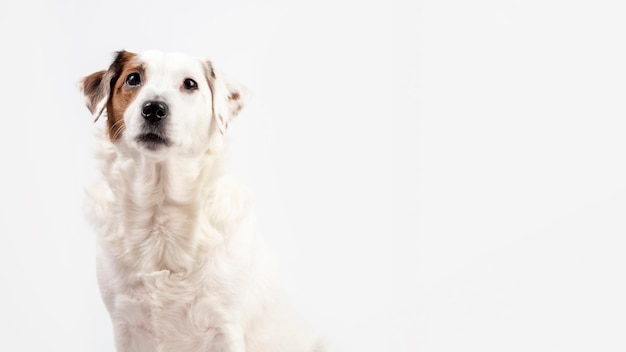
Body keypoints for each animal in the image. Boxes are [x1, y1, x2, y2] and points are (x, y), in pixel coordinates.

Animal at [81, 50, 326, 352]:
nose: (154, 109)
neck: (160, 209)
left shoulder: (225, 326)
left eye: (190, 84)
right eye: (133, 78)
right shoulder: (125, 325)